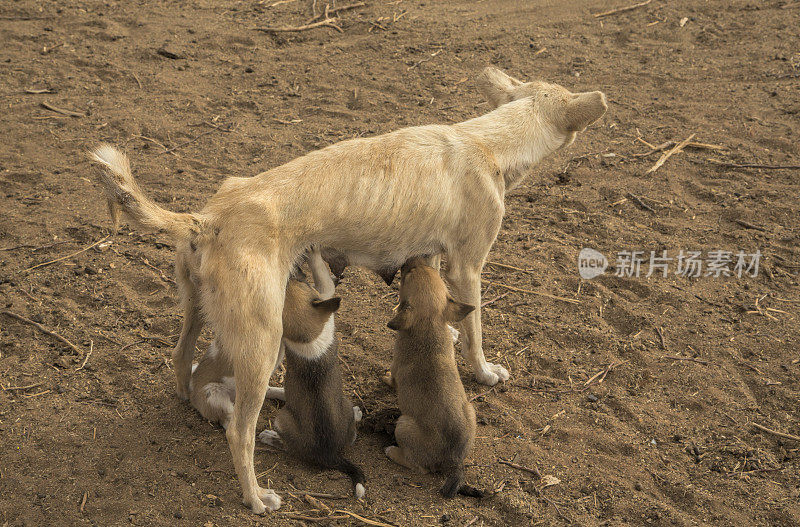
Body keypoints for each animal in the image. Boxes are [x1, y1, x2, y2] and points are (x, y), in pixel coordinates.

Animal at [384, 258, 478, 500]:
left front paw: (384, 378)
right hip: (470, 409)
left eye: (407, 275)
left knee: (417, 466)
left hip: (403, 425)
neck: (429, 324)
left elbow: (391, 379)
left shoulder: (395, 370)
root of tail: (453, 462)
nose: (410, 259)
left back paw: (392, 451)